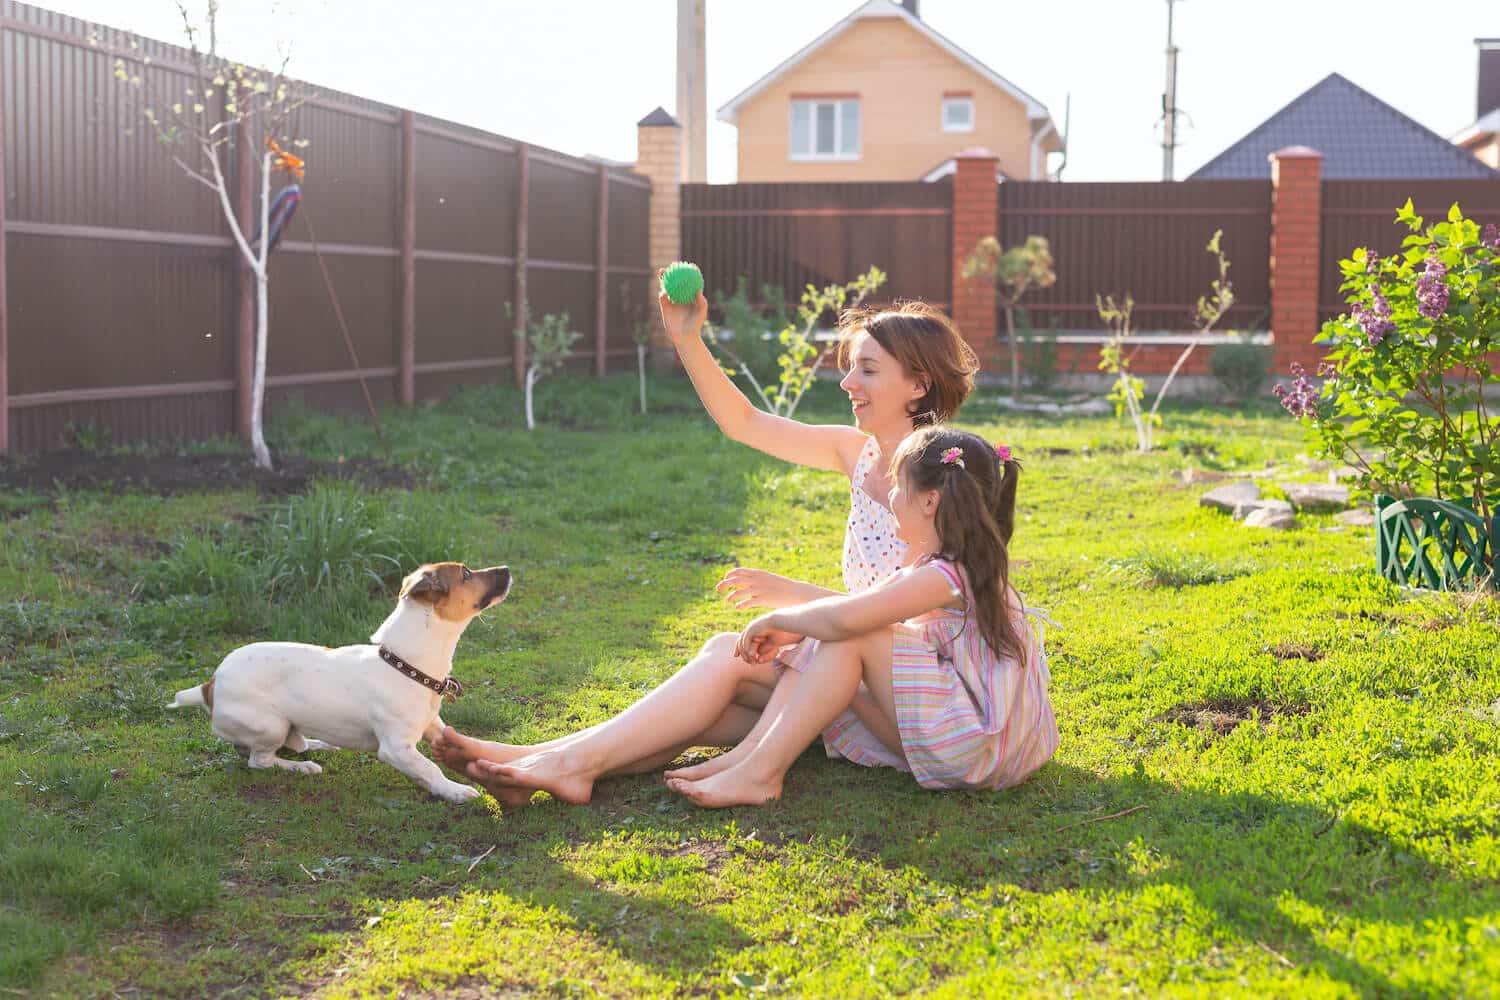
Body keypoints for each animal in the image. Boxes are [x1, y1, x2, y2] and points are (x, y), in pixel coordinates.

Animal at [168, 563, 510, 803]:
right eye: (466, 573)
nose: (507, 569)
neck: (405, 664)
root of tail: (209, 685)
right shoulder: (396, 748)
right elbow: (430, 769)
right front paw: (454, 790)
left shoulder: (433, 726)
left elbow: (459, 743)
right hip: (270, 725)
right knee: (259, 761)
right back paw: (301, 767)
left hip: (286, 725)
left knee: (290, 745)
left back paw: (319, 745)